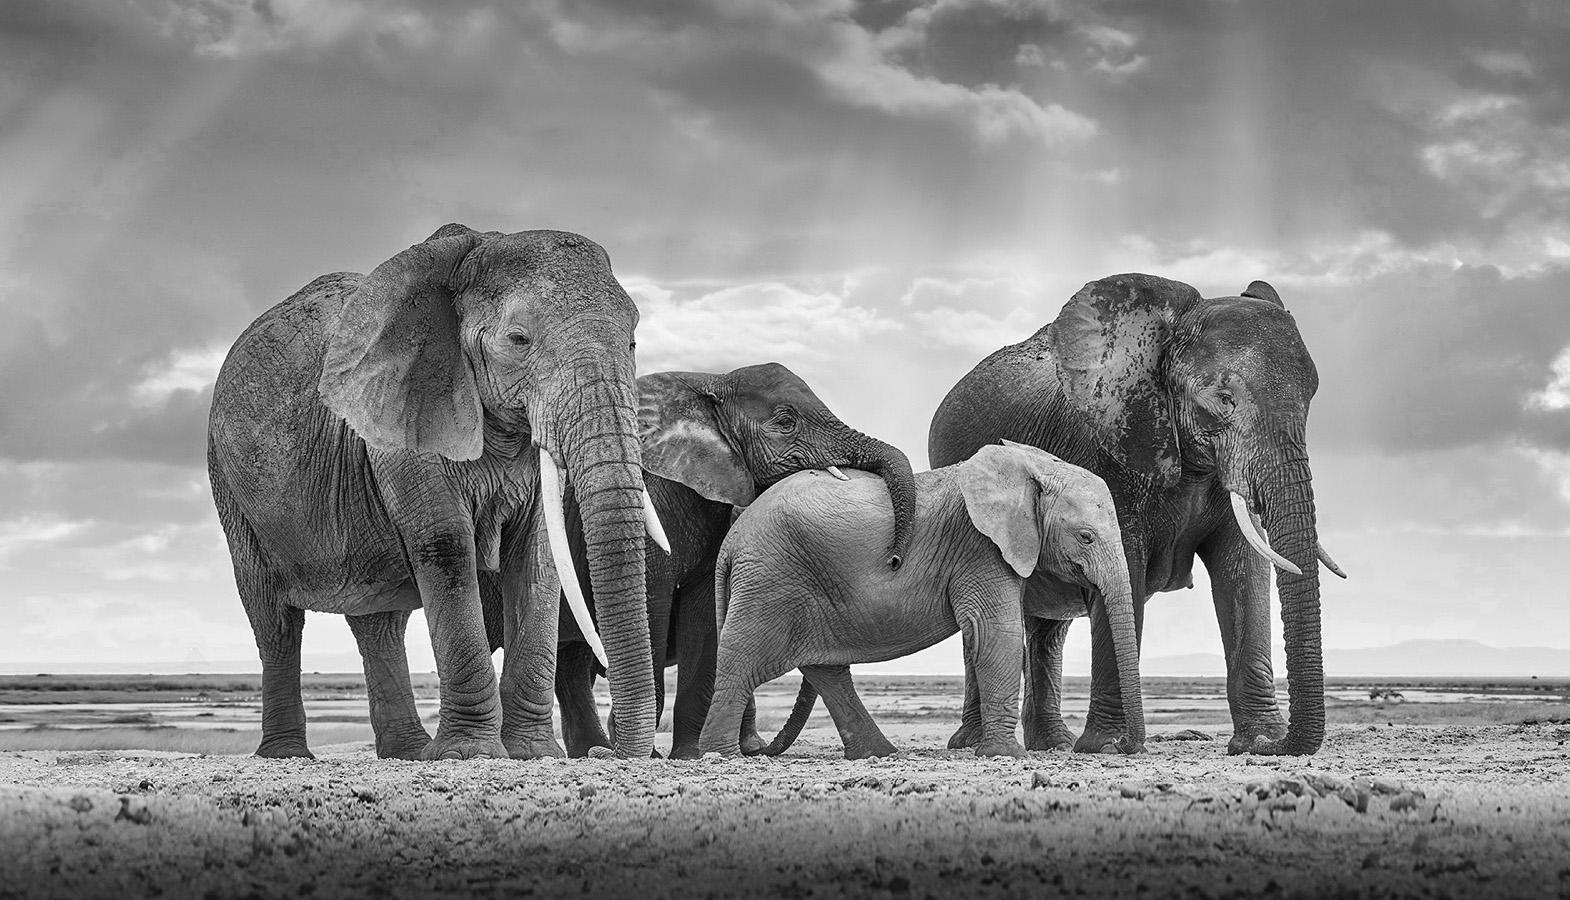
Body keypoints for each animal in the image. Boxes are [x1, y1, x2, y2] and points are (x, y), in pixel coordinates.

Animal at [205, 223, 659, 757]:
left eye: (632, 341)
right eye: (518, 339)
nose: (606, 752)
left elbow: (537, 557)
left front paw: (533, 755)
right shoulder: (406, 413)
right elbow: (446, 546)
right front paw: (470, 756)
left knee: (378, 623)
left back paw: (406, 752)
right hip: (230, 486)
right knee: (274, 620)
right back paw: (289, 754)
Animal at [536, 364, 916, 757]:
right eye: (786, 422)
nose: (894, 559)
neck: (711, 382)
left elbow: (703, 614)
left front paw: (690, 756)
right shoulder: (653, 497)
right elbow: (652, 600)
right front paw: (655, 755)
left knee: (571, 663)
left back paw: (590, 749)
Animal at [700, 442, 1142, 757]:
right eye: (1086, 537)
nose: (1119, 746)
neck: (1029, 467)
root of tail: (731, 544)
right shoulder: (979, 546)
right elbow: (995, 633)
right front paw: (1007, 755)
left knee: (826, 670)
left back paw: (879, 755)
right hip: (770, 579)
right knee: (742, 663)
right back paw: (722, 755)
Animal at [923, 273, 1343, 757]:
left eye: (1311, 396)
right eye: (1223, 398)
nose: (1276, 746)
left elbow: (1244, 572)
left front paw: (1257, 739)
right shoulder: (1106, 447)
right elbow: (1126, 566)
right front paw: (1108, 745)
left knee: (1048, 628)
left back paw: (1054, 744)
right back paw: (972, 743)